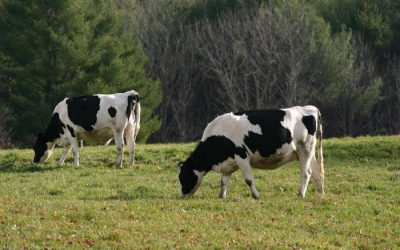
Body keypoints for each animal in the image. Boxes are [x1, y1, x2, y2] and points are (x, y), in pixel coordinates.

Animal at [178, 105, 324, 199]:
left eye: (183, 177)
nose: (181, 195)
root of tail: (311, 108)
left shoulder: (242, 156)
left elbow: (249, 180)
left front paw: (256, 196)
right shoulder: (228, 162)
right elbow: (224, 181)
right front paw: (222, 196)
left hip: (305, 148)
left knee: (306, 172)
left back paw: (301, 194)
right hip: (307, 152)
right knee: (316, 171)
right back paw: (321, 193)